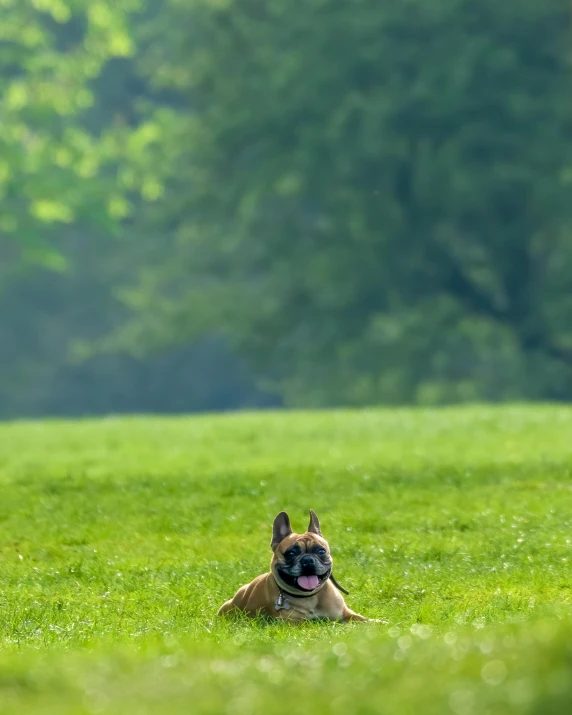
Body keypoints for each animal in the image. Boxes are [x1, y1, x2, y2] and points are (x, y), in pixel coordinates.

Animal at [217, 510, 368, 620]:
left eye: (321, 551)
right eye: (291, 553)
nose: (308, 560)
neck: (308, 597)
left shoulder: (346, 614)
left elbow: (363, 620)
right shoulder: (294, 622)